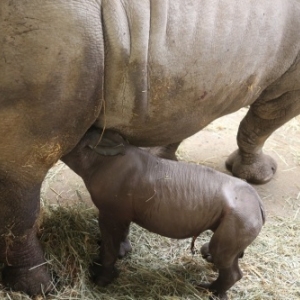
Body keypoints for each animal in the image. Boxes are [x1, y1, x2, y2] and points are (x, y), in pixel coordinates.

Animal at [61, 127, 264, 298]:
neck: (96, 155)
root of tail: (259, 206)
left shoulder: (110, 212)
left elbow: (109, 246)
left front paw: (100, 280)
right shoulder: (120, 213)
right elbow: (120, 235)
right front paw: (122, 253)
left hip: (241, 216)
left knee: (224, 257)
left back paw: (208, 290)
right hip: (241, 215)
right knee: (225, 252)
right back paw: (208, 260)